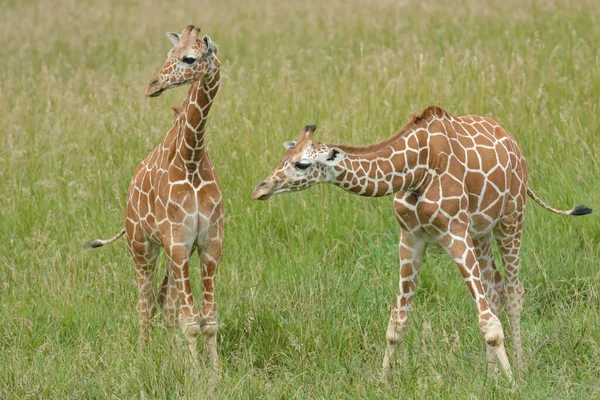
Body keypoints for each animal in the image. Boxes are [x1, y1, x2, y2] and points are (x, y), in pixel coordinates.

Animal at [86, 25, 223, 368]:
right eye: (168, 54)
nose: (153, 86)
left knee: (165, 302)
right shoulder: (177, 241)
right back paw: (145, 357)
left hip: (172, 252)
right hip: (141, 246)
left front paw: (213, 372)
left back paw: (172, 357)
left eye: (190, 58)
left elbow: (208, 318)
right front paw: (196, 375)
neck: (191, 158)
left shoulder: (209, 243)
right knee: (145, 303)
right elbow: (192, 320)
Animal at [251, 105, 592, 382]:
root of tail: (513, 143)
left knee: (513, 290)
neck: (415, 171)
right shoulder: (411, 238)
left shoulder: (455, 233)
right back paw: (489, 374)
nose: (260, 189)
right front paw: (383, 381)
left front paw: (512, 385)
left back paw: (518, 369)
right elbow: (396, 323)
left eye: (302, 165)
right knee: (494, 287)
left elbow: (490, 325)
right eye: (283, 158)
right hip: (481, 232)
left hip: (512, 216)